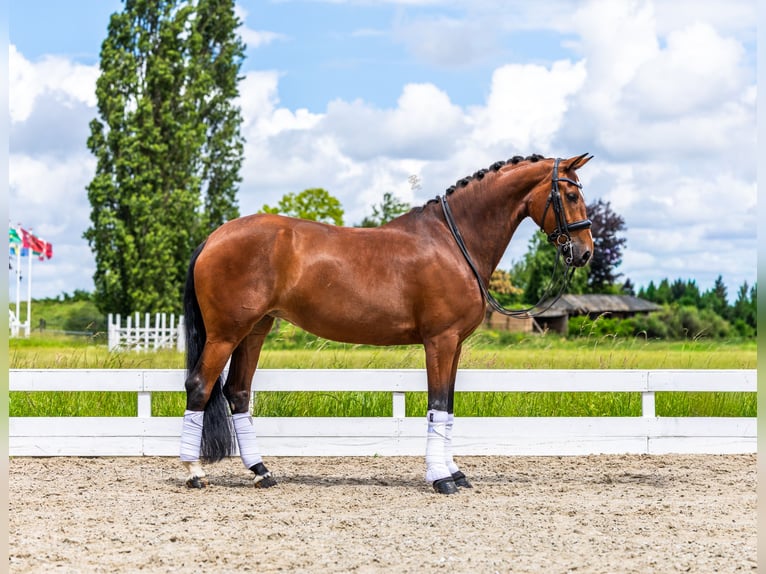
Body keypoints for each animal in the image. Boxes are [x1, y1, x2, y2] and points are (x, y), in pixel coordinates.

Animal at [179, 153, 594, 494]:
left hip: (255, 330)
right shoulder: (440, 341)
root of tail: (213, 238)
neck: (452, 241)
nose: (585, 252)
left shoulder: (456, 344)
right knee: (199, 386)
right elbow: (437, 405)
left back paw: (261, 472)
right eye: (570, 194)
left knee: (237, 393)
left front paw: (455, 472)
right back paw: (195, 472)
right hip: (226, 333)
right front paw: (441, 478)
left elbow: (449, 408)